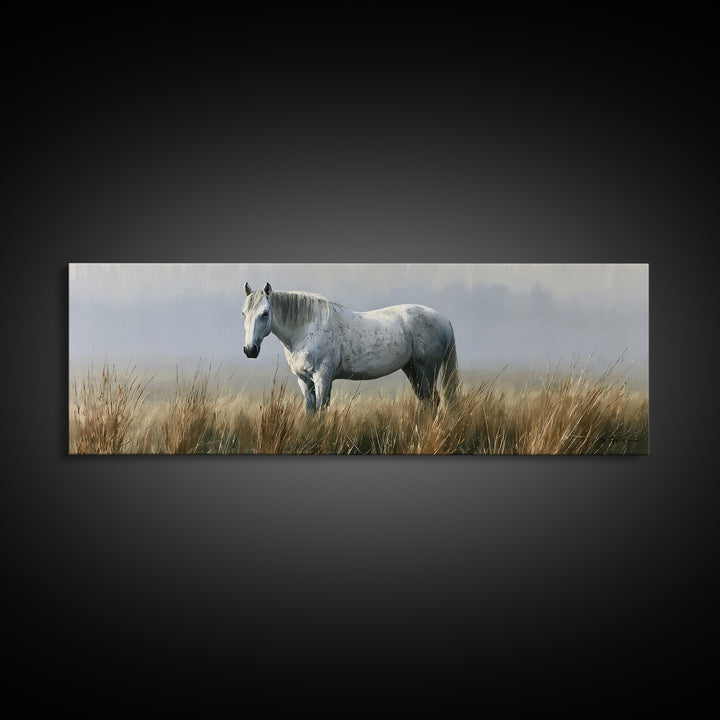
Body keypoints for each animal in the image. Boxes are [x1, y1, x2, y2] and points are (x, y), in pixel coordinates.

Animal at [242, 282, 459, 414]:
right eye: (244, 313)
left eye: (265, 313)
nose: (250, 350)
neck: (307, 328)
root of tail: (445, 320)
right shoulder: (304, 380)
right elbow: (311, 413)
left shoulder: (323, 378)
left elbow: (321, 410)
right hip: (412, 369)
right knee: (427, 401)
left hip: (427, 370)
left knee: (432, 401)